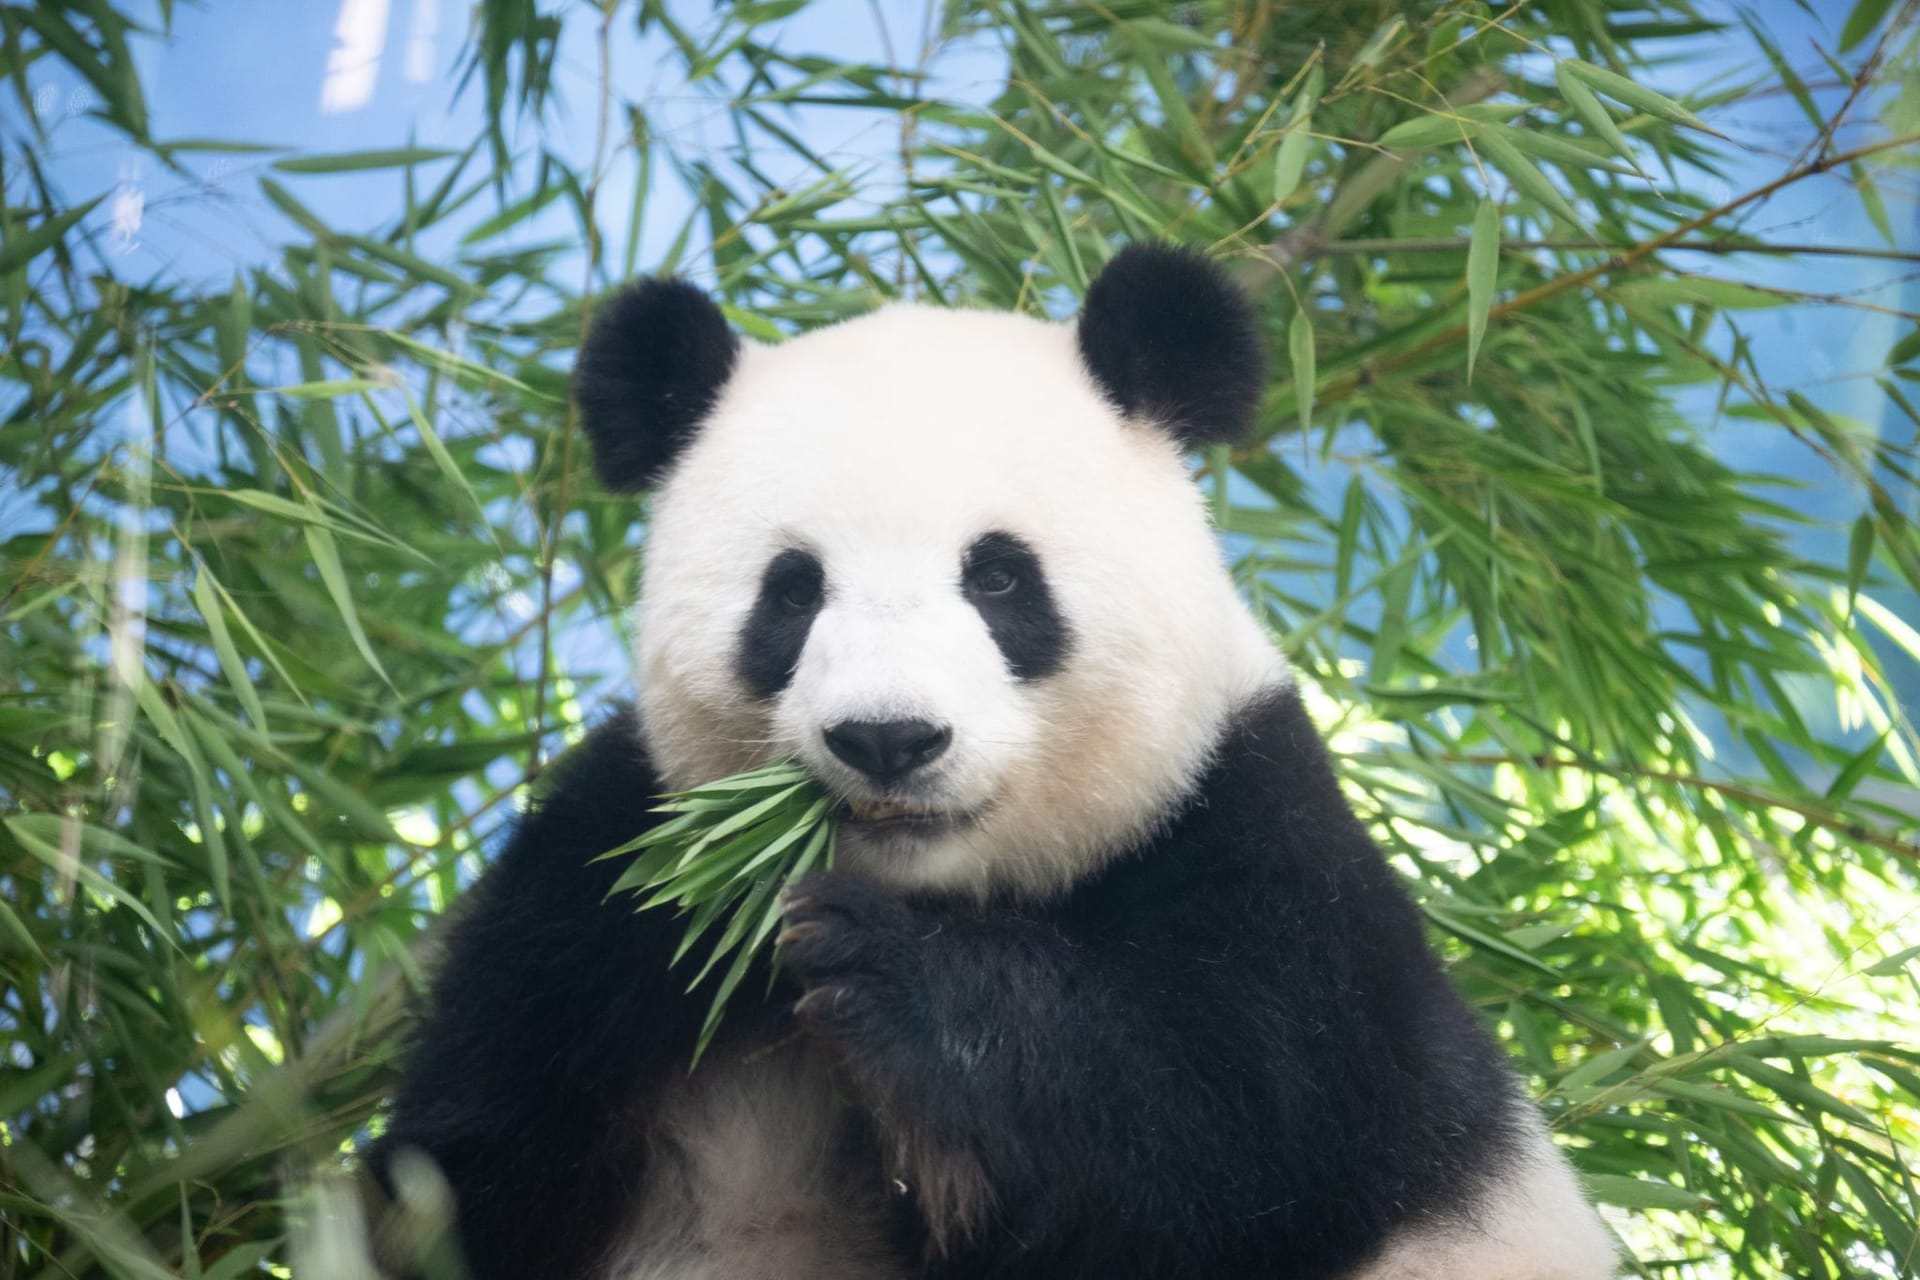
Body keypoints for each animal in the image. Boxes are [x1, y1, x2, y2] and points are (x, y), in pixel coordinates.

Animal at [374, 242, 1620, 1280]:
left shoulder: (1266, 852)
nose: (888, 736)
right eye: (792, 591)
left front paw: (891, 979)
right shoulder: (604, 882)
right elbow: (462, 1167)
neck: (951, 889)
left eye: (1000, 576)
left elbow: (1221, 1134)